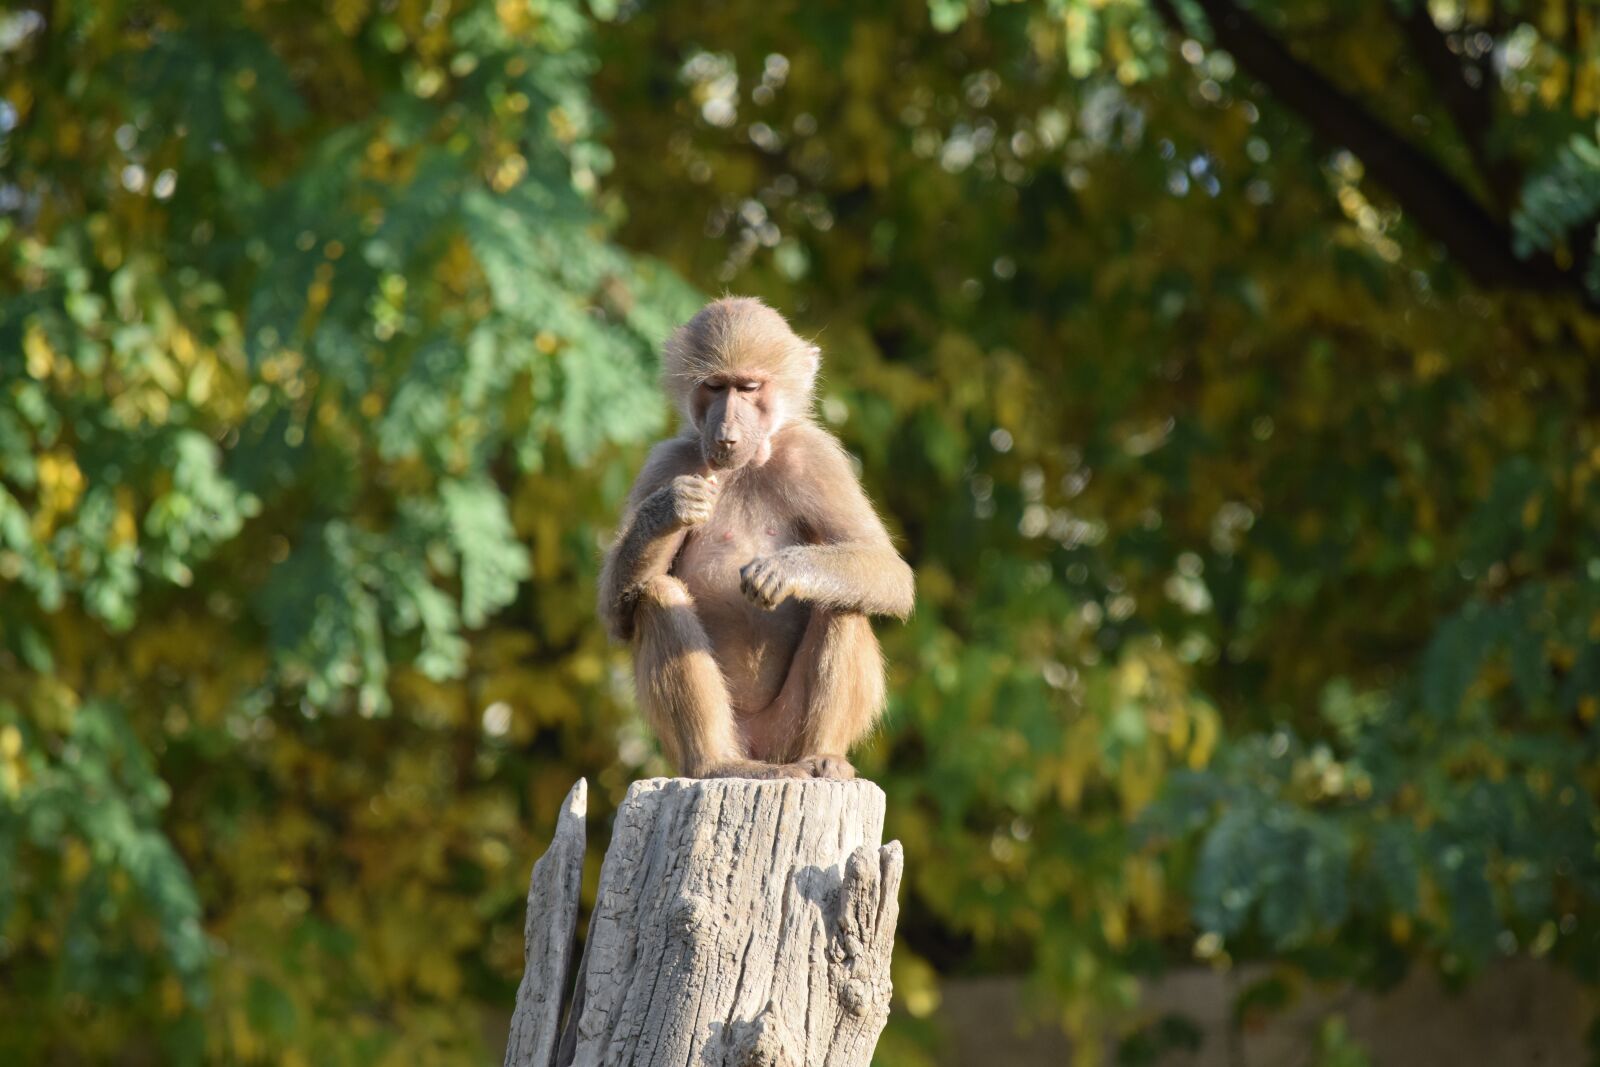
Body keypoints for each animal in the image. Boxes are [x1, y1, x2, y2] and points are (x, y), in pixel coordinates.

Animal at [597, 297, 914, 781]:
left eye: (748, 387)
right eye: (714, 386)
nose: (725, 434)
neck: (745, 465)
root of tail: (765, 752)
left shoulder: (815, 457)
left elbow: (889, 571)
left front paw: (785, 570)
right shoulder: (667, 462)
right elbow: (617, 615)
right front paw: (668, 509)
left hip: (785, 731)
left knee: (844, 603)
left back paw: (825, 757)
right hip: (731, 734)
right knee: (657, 595)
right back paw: (717, 763)